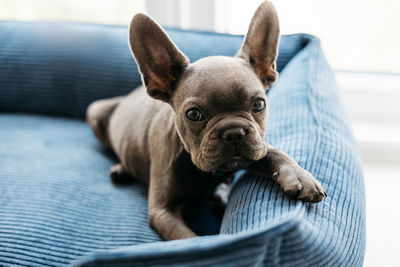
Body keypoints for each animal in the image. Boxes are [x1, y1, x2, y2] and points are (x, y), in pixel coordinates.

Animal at [86, 0, 324, 243]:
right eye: (193, 114)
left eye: (259, 104)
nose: (234, 132)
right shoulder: (163, 212)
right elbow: (187, 239)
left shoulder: (253, 150)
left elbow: (272, 152)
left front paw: (300, 175)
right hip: (95, 111)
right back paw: (121, 168)